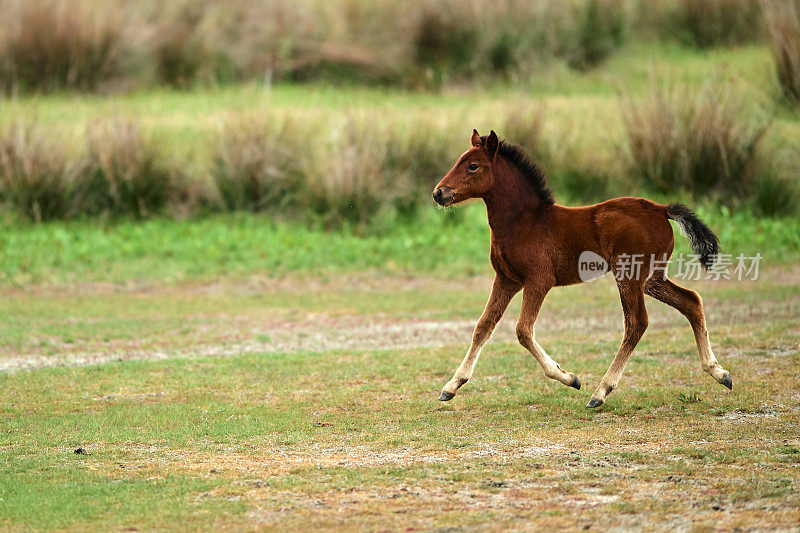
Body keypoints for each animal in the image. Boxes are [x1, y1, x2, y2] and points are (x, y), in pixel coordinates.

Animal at [432, 129, 732, 408]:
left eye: (473, 166)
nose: (439, 193)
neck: (524, 222)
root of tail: (660, 208)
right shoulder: (506, 279)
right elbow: (483, 326)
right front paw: (451, 386)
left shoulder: (539, 280)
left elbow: (523, 330)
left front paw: (568, 377)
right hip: (651, 278)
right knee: (691, 301)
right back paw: (719, 372)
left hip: (629, 274)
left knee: (637, 323)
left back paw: (600, 392)